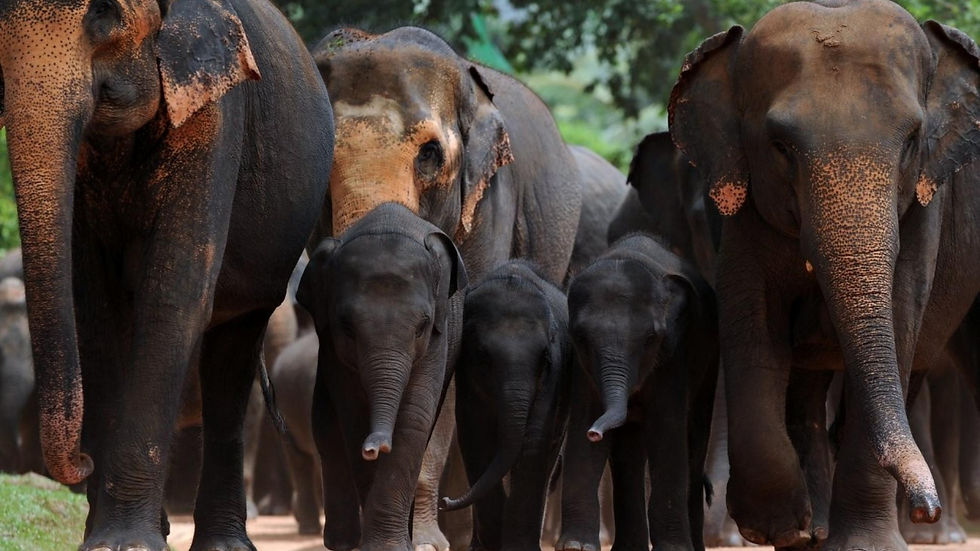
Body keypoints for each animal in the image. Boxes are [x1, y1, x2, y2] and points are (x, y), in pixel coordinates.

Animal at [0, 0, 334, 547]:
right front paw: (105, 539)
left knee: (232, 359)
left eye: (105, 15)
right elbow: (94, 303)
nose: (82, 463)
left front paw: (126, 542)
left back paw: (225, 542)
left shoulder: (215, 109)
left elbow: (177, 290)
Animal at [296, 202, 467, 551]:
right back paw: (342, 543)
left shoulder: (438, 337)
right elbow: (353, 418)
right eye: (347, 327)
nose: (374, 447)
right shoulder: (332, 346)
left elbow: (413, 418)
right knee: (325, 429)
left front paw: (392, 546)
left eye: (422, 326)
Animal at [440, 260, 570, 551]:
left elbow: (534, 442)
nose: (443, 502)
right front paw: (492, 543)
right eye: (483, 356)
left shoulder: (554, 376)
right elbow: (477, 438)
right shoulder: (467, 378)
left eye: (545, 358)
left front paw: (517, 545)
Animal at [561, 233, 718, 551]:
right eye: (581, 337)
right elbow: (584, 417)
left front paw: (673, 549)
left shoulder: (674, 354)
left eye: (650, 338)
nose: (595, 433)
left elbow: (666, 429)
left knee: (694, 442)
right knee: (628, 456)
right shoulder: (582, 368)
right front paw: (575, 547)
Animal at [669, 1, 980, 549]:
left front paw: (864, 545)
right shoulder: (744, 211)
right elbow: (752, 322)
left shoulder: (926, 208)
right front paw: (779, 526)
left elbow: (899, 318)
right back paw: (811, 529)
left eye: (912, 141)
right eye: (780, 146)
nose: (927, 509)